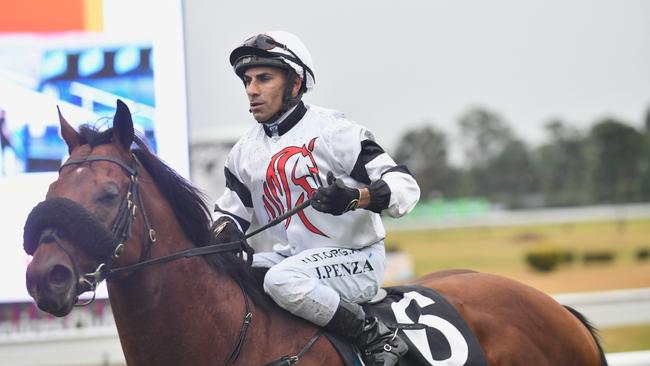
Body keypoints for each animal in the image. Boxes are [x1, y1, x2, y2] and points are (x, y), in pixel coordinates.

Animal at [22, 101, 604, 366]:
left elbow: (398, 181)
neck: (236, 335)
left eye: (107, 193)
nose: (43, 277)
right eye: (53, 186)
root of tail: (555, 308)